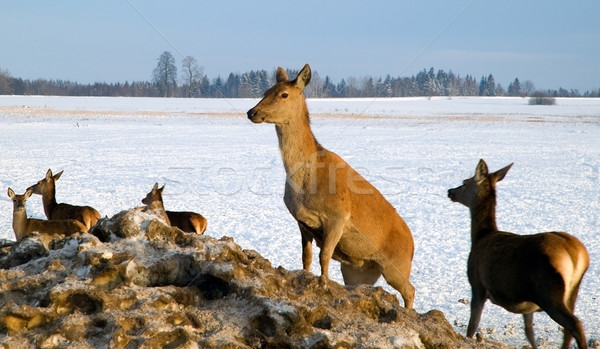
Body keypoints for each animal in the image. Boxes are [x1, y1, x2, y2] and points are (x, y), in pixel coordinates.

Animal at [246, 64, 414, 306]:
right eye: (266, 90)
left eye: (284, 94)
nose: (251, 112)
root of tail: (413, 247)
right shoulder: (301, 220)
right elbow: (306, 257)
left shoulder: (338, 216)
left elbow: (323, 255)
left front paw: (322, 285)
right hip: (359, 269)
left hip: (397, 264)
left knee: (410, 290)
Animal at [448, 160, 588, 348]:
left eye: (465, 182)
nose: (451, 191)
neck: (480, 236)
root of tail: (577, 254)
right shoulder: (527, 307)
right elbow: (529, 332)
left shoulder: (477, 284)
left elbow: (472, 325)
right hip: (571, 291)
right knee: (568, 329)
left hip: (549, 291)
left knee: (575, 324)